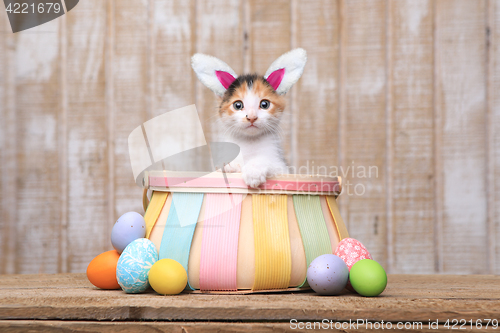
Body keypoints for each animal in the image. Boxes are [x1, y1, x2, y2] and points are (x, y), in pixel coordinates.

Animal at [192, 47, 306, 187]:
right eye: (238, 105)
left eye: (264, 104)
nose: (251, 117)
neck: (249, 142)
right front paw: (229, 166)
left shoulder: (282, 167)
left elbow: (268, 161)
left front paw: (254, 171)